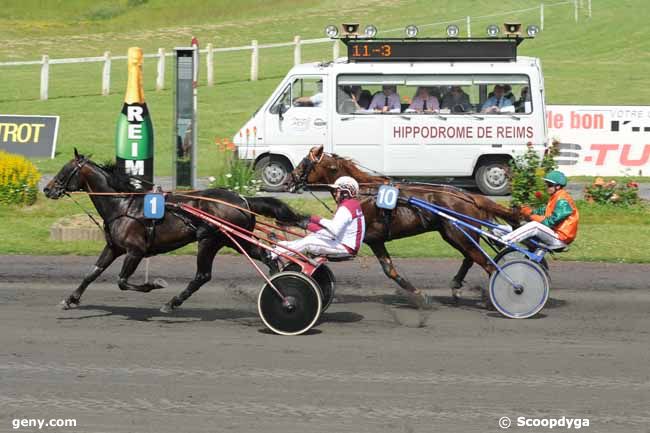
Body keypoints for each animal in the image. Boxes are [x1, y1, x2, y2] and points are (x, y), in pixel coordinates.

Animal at [45, 150, 304, 312]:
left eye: (64, 170)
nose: (47, 189)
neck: (123, 205)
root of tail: (242, 199)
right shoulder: (114, 247)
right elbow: (92, 273)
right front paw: (70, 300)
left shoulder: (135, 250)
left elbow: (122, 281)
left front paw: (153, 285)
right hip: (234, 240)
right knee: (266, 256)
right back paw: (276, 284)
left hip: (209, 240)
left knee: (203, 275)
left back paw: (172, 303)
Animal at [286, 145, 520, 308]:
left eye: (305, 162)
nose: (289, 180)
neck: (361, 191)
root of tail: (470, 196)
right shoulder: (376, 240)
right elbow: (390, 269)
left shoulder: (369, 237)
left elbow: (388, 270)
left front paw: (421, 297)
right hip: (453, 234)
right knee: (471, 258)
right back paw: (456, 286)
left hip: (460, 234)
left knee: (487, 264)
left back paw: (505, 293)